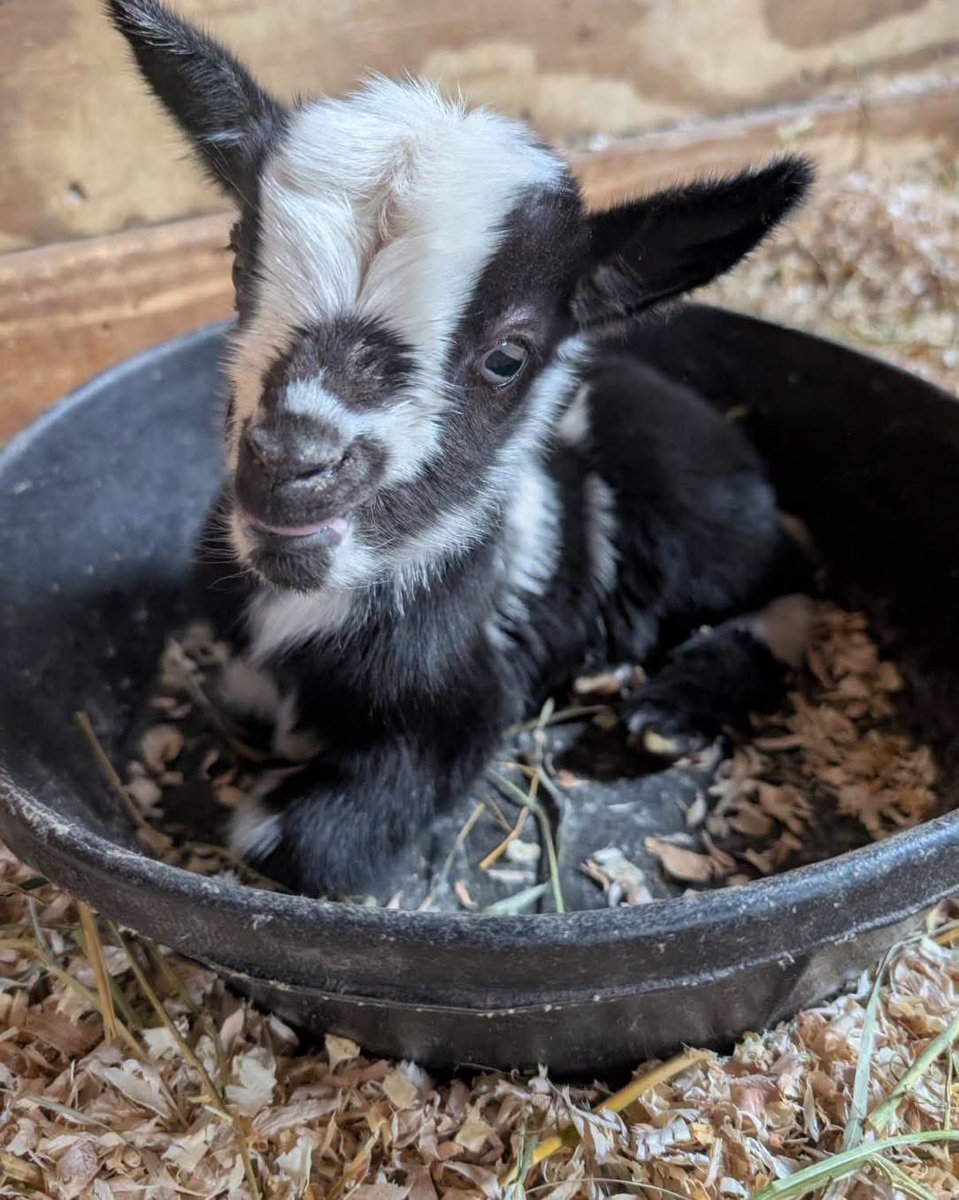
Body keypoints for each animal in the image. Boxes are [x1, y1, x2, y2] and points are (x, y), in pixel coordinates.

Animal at [109, 0, 815, 898]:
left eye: (508, 356)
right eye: (239, 264)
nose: (292, 465)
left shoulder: (472, 701)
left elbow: (297, 844)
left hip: (704, 517)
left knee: (789, 584)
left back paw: (672, 707)